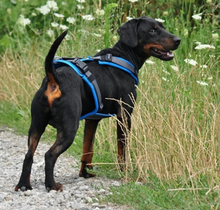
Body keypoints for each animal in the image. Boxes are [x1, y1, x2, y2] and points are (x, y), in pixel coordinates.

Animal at [15, 16, 180, 192]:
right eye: (152, 30)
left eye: (162, 27)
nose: (178, 40)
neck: (124, 56)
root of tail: (54, 80)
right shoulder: (124, 116)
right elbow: (122, 150)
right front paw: (124, 172)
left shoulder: (92, 120)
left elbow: (87, 149)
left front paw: (85, 173)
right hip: (68, 129)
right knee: (50, 155)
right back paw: (52, 185)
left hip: (36, 125)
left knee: (28, 155)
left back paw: (24, 185)